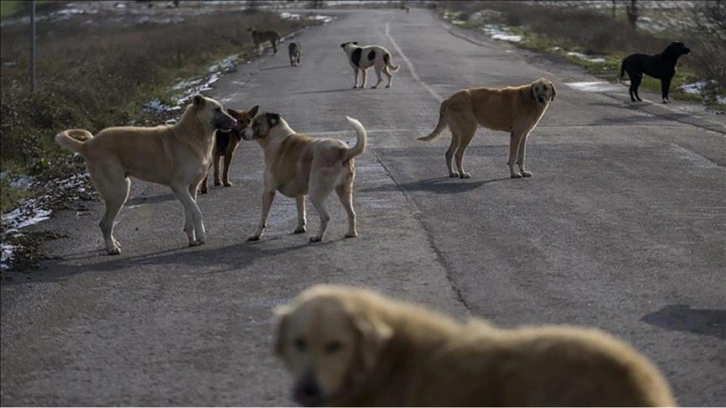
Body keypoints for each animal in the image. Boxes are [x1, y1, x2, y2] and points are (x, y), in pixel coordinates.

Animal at [54, 95, 236, 255]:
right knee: (104, 224)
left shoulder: (190, 188)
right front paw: (202, 236)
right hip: (118, 192)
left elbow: (190, 212)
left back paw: (113, 243)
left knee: (106, 224)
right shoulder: (179, 187)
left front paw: (193, 239)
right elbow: (196, 211)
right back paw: (111, 248)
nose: (235, 122)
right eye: (217, 109)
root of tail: (87, 145)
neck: (193, 134)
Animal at [243, 111, 366, 242]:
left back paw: (318, 237)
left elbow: (263, 217)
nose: (241, 132)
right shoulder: (299, 193)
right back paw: (351, 233)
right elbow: (301, 210)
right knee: (352, 213)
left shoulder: (268, 190)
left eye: (256, 123)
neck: (276, 137)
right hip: (344, 191)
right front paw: (300, 227)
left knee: (325, 217)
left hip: (315, 193)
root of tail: (342, 150)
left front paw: (256, 234)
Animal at [418, 77, 560, 178]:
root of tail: (448, 100)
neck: (530, 99)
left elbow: (521, 157)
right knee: (458, 154)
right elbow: (513, 157)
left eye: (545, 88)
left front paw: (523, 172)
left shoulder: (524, 135)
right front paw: (514, 174)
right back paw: (463, 174)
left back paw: (453, 173)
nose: (540, 99)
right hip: (468, 131)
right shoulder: (516, 134)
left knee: (449, 153)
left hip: (458, 134)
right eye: (536, 88)